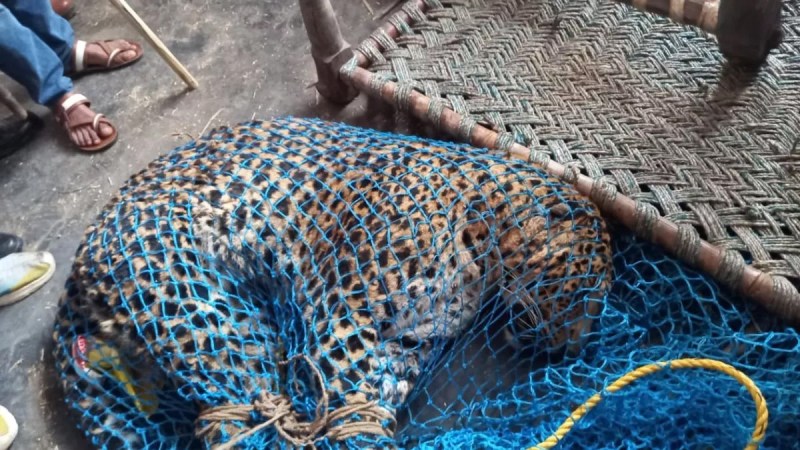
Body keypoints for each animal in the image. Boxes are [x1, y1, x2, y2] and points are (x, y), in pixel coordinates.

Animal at [53, 116, 613, 449]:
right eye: (588, 294)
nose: (572, 348)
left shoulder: (403, 343)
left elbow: (375, 394)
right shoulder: (342, 316)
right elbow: (351, 401)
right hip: (209, 314)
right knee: (241, 419)